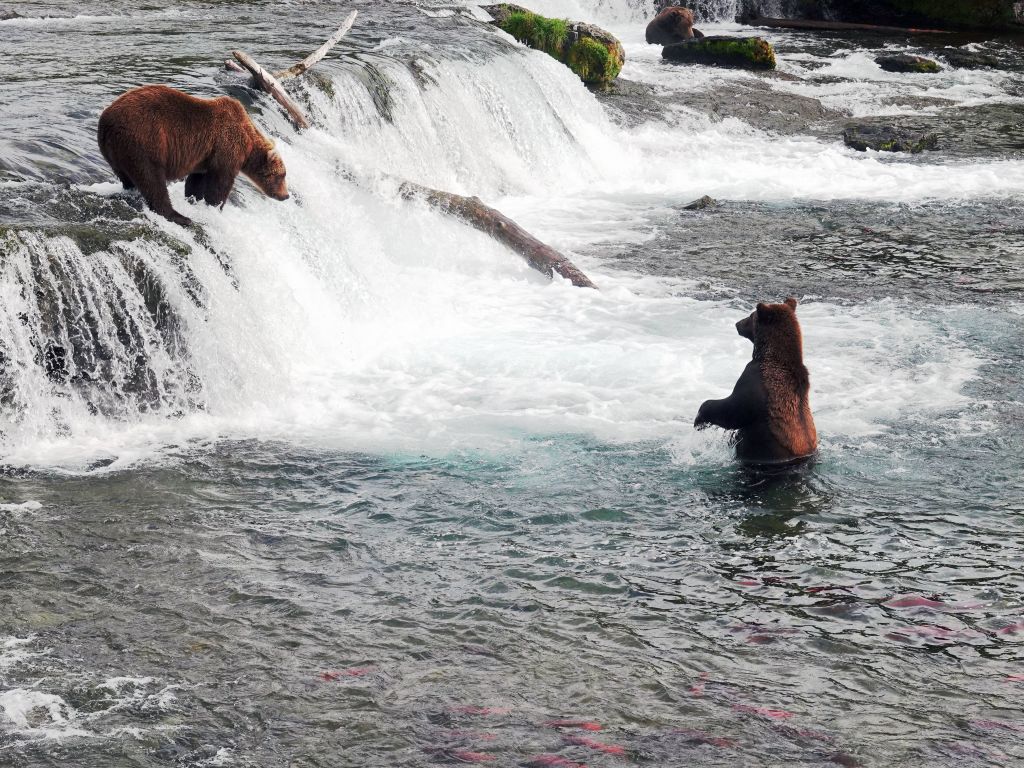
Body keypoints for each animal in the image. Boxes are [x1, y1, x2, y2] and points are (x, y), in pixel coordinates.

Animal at [97, 86, 290, 228]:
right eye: (281, 175)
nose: (286, 196)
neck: (249, 143)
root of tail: (106, 119)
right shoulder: (226, 147)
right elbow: (221, 182)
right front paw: (215, 207)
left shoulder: (204, 157)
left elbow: (196, 181)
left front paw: (194, 200)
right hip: (145, 138)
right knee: (152, 179)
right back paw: (180, 217)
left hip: (114, 150)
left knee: (128, 176)